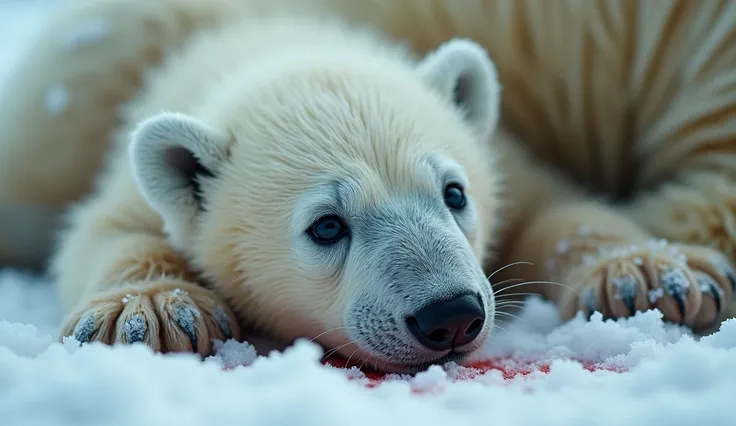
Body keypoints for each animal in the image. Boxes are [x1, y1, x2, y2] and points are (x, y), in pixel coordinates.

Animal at [0, 0, 732, 370]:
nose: (451, 315)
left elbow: (554, 207)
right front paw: (150, 311)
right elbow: (107, 230)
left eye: (455, 193)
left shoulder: (501, 158)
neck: (272, 42)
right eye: (327, 225)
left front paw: (648, 273)